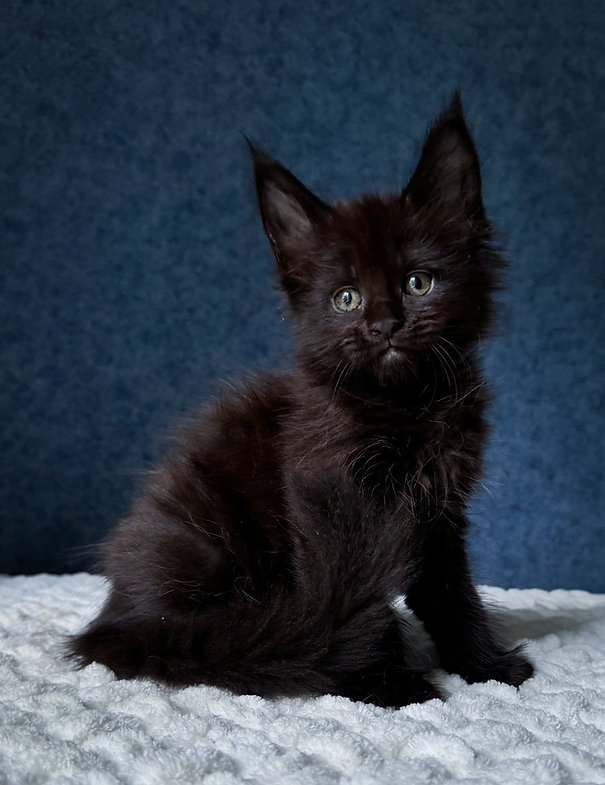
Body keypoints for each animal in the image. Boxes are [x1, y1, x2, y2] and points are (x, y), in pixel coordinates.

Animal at [69, 95, 532, 708]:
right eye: (346, 298)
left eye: (418, 283)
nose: (385, 326)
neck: (405, 406)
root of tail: (116, 620)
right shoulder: (323, 492)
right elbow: (349, 602)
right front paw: (390, 683)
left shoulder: (439, 505)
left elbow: (452, 592)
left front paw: (485, 668)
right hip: (200, 546)